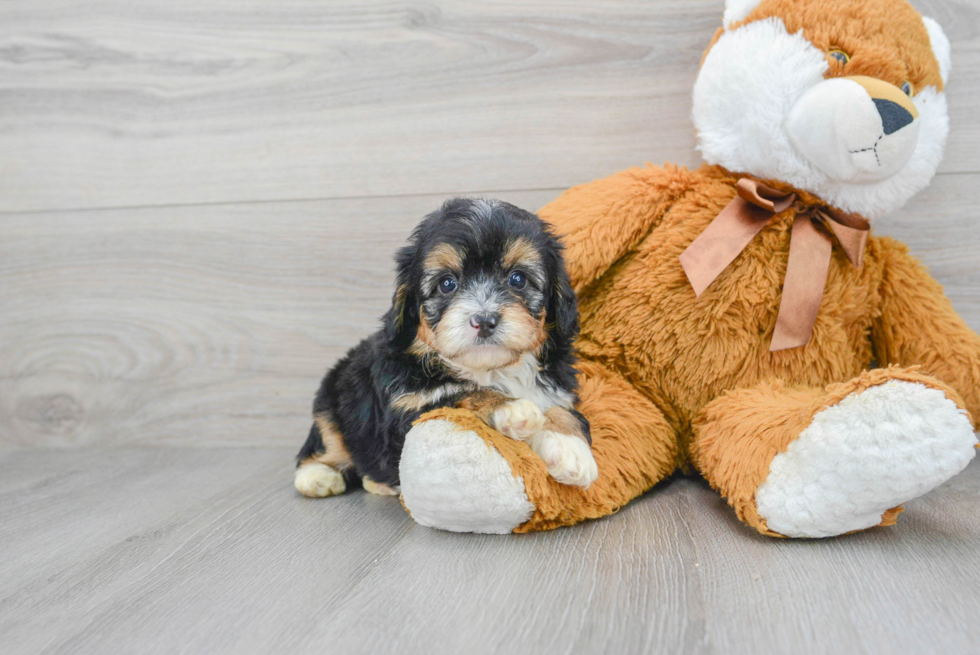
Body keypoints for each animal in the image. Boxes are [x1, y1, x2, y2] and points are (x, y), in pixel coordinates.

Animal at [292, 197, 596, 500]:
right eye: (447, 283)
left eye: (517, 279)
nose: (484, 320)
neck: (492, 370)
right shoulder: (407, 410)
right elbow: (458, 392)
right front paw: (510, 407)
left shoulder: (559, 390)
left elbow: (561, 410)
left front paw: (570, 447)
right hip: (332, 400)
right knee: (326, 443)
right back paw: (318, 476)